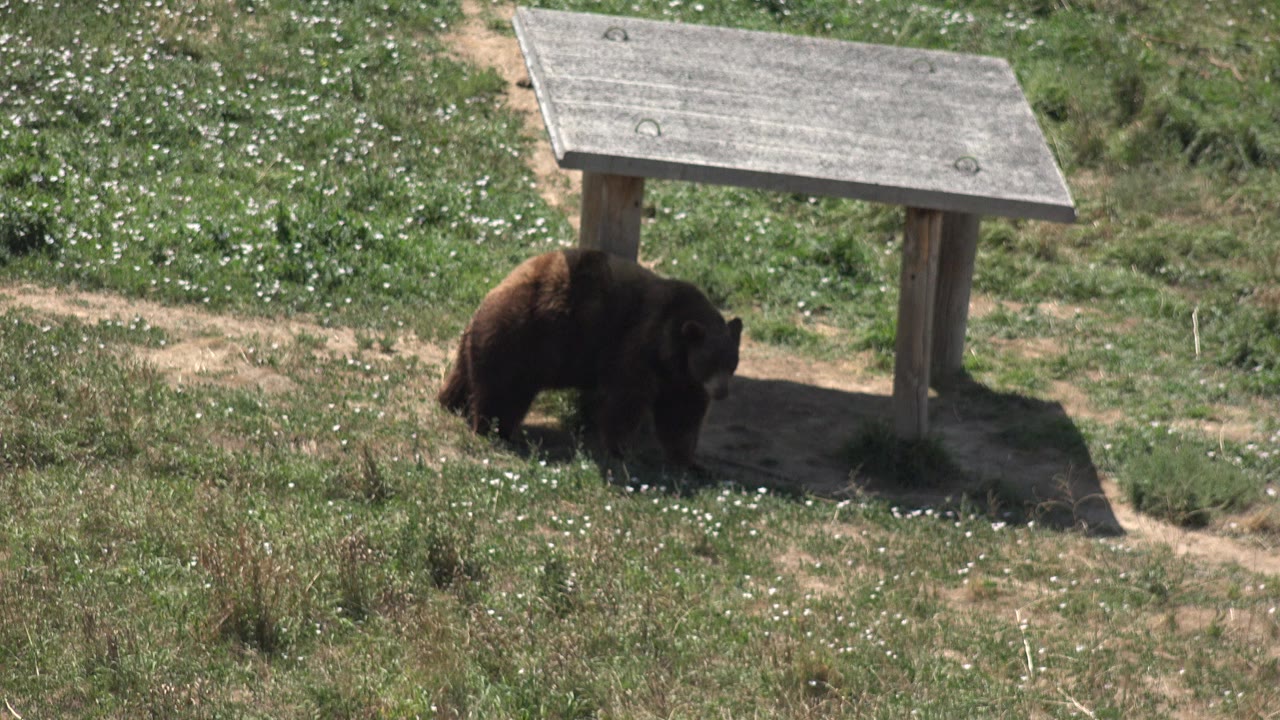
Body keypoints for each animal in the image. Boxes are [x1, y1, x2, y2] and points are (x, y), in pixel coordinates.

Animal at [438, 249, 742, 468]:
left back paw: (453, 403)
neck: (670, 347)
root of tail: (487, 298)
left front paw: (691, 462)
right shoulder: (639, 346)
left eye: (732, 363)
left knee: (465, 378)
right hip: (521, 340)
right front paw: (619, 449)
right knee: (502, 391)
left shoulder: (682, 378)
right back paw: (495, 430)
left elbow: (682, 415)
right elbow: (625, 399)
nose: (723, 392)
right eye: (709, 361)